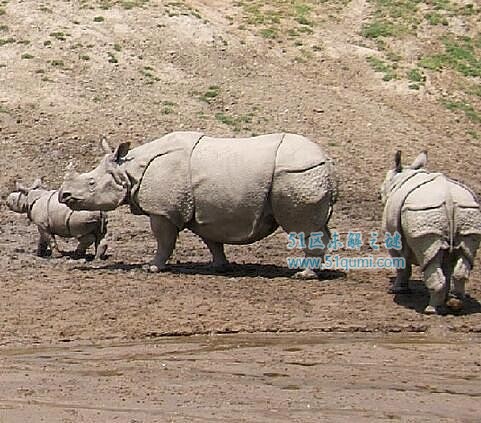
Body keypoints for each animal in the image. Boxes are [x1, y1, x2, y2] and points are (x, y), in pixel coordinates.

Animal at [58, 132, 336, 278]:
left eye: (91, 183)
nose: (63, 195)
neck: (129, 169)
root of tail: (327, 160)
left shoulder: (162, 210)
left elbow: (164, 241)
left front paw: (152, 267)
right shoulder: (205, 209)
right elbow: (211, 239)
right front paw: (218, 266)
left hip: (297, 174)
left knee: (304, 228)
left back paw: (304, 275)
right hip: (302, 174)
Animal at [380, 152, 478, 314]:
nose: (379, 194)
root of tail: (448, 197)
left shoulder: (393, 239)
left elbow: (402, 266)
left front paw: (397, 290)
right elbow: (446, 268)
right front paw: (446, 298)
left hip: (423, 209)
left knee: (427, 255)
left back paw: (431, 310)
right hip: (466, 210)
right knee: (464, 255)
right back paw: (455, 303)